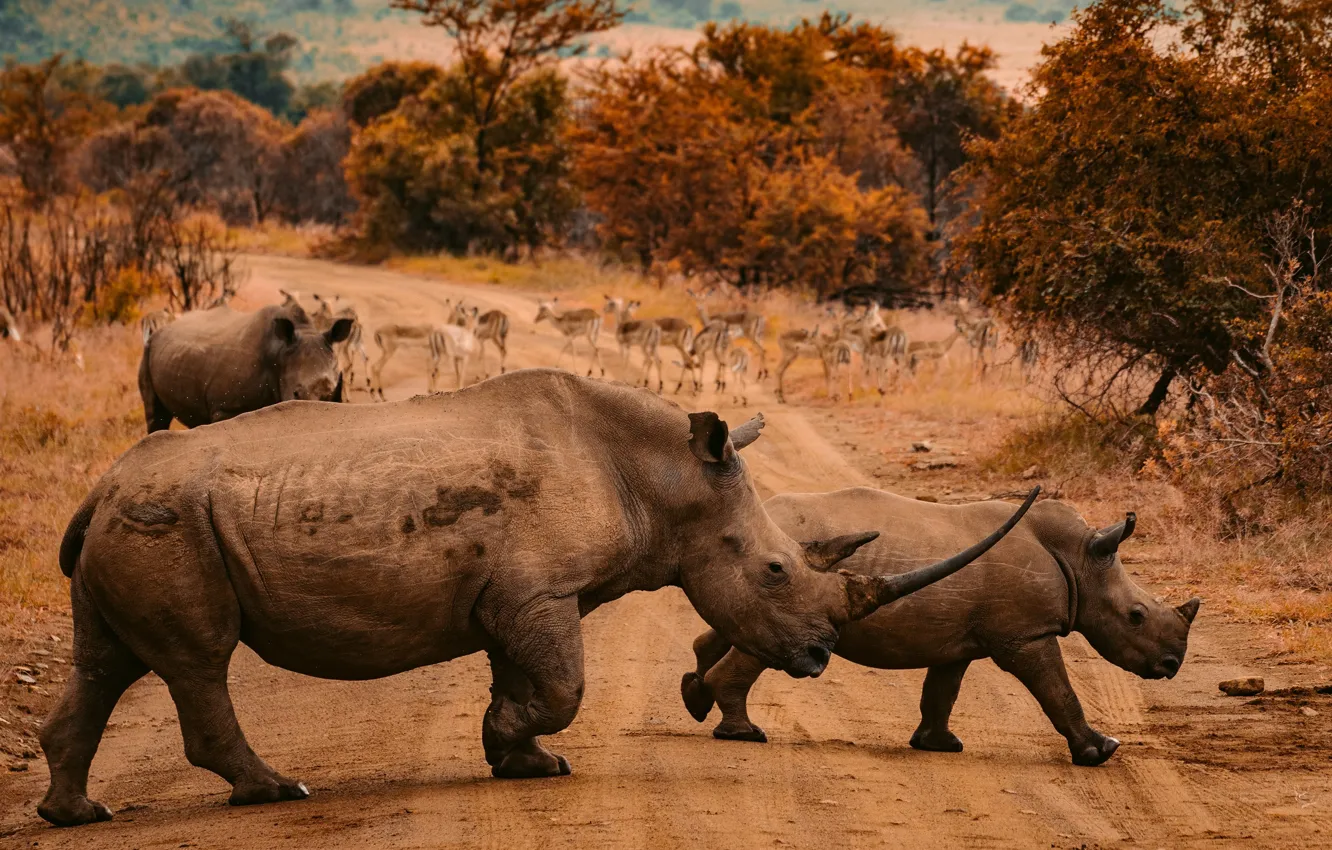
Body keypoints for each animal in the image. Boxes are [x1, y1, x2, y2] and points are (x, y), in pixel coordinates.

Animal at [37, 371, 1036, 827]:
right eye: (777, 572)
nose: (821, 658)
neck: (665, 478)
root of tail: (96, 488)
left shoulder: (523, 594)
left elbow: (525, 677)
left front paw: (520, 760)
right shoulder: (539, 591)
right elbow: (563, 686)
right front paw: (519, 744)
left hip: (136, 518)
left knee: (106, 663)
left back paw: (76, 815)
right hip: (168, 521)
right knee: (198, 661)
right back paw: (277, 791)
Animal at [138, 303, 353, 432]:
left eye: (333, 394)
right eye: (296, 393)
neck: (279, 354)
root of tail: (161, 329)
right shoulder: (225, 408)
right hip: (148, 350)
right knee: (156, 417)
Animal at [681, 487, 1200, 767]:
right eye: (1135, 616)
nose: (1172, 664)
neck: (1080, 559)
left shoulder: (958, 640)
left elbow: (942, 692)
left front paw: (939, 746)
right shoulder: (1025, 635)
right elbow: (1058, 690)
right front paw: (1101, 751)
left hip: (765, 568)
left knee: (734, 626)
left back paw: (697, 699)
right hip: (785, 571)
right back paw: (744, 733)